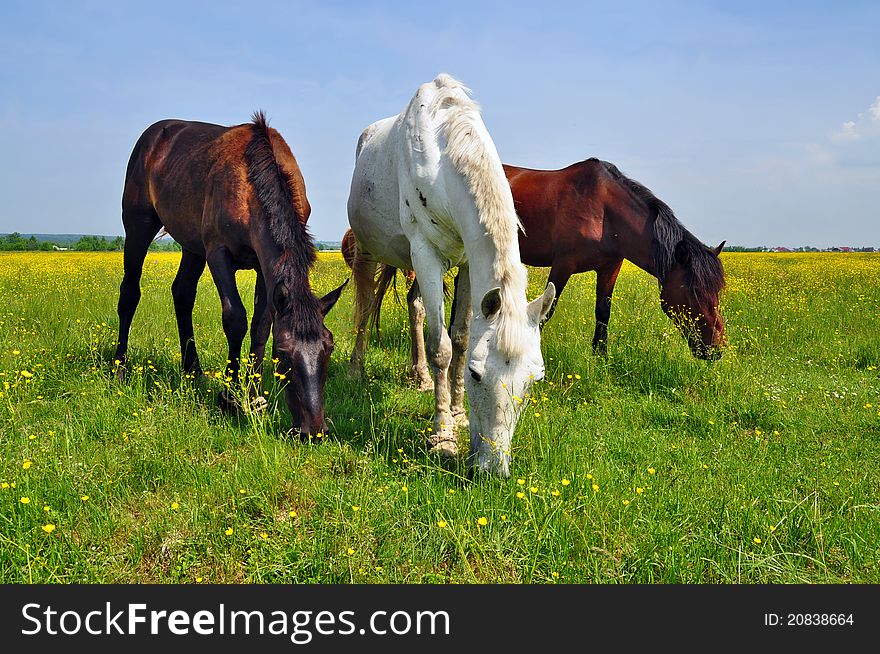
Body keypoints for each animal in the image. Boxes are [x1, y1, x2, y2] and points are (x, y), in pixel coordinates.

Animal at [116, 111, 348, 440]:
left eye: (328, 348)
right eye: (284, 354)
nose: (313, 431)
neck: (252, 183)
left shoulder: (265, 267)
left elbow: (261, 325)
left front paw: (253, 395)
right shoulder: (218, 253)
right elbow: (235, 318)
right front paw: (230, 396)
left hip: (192, 246)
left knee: (182, 293)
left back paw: (193, 371)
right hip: (139, 225)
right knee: (130, 293)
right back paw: (120, 368)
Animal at [348, 74, 552, 480]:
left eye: (533, 380)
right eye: (476, 375)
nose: (493, 470)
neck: (441, 157)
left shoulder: (467, 265)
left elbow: (459, 337)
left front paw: (457, 414)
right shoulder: (426, 254)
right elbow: (440, 347)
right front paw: (442, 434)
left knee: (414, 306)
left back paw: (420, 377)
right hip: (369, 250)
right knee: (364, 307)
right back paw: (356, 369)